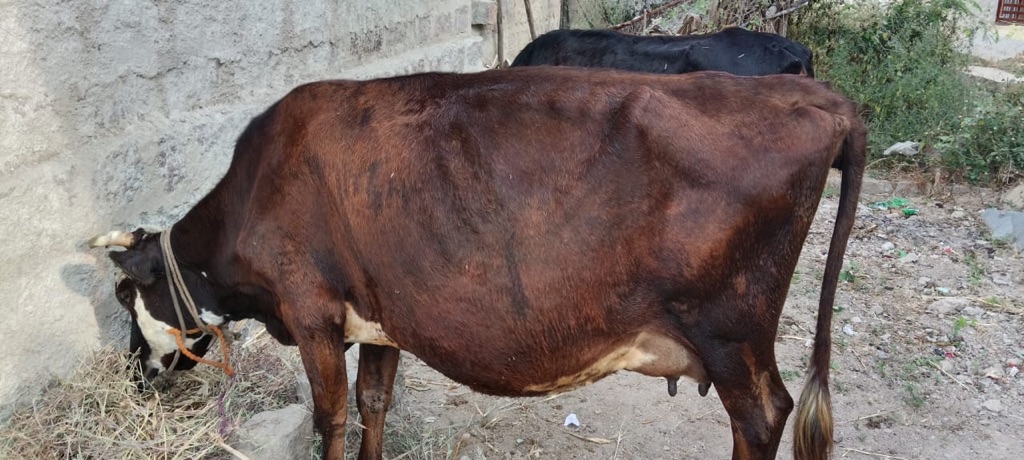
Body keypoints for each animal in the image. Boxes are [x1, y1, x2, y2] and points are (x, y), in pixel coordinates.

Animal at [89, 67, 864, 460]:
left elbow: (330, 418)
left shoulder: (310, 310)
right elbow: (374, 403)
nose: (135, 374)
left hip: (730, 330)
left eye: (127, 297)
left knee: (762, 416)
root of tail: (822, 98)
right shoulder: (381, 315)